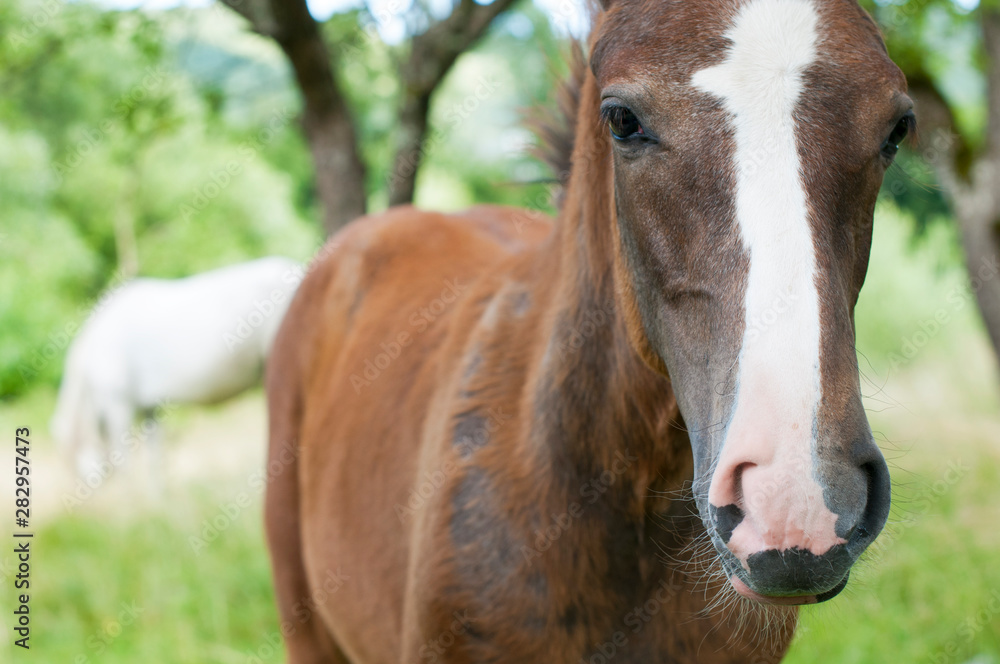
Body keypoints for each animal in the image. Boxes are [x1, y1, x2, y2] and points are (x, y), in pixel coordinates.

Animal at [51, 256, 301, 481]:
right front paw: (156, 501)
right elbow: (155, 460)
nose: (87, 485)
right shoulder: (150, 409)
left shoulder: (118, 406)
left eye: (70, 453)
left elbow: (126, 464)